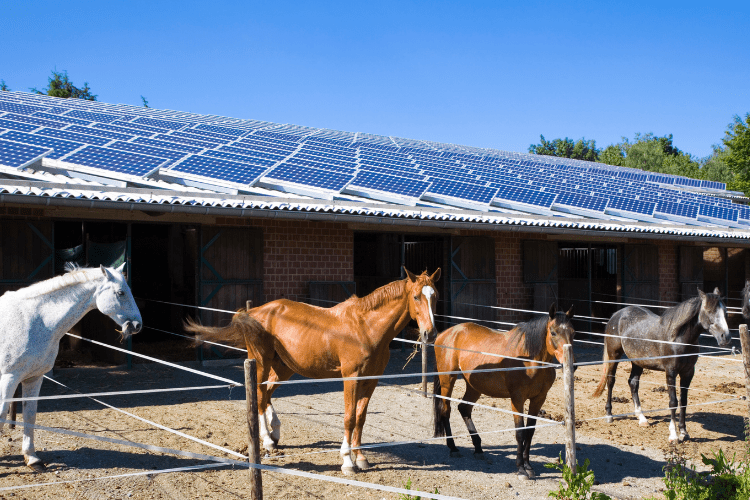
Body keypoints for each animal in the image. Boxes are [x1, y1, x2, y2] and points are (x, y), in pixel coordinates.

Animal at [0, 264, 142, 470]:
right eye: (121, 292)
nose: (137, 325)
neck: (34, 320)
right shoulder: (9, 378)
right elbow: (2, 415)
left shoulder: (34, 377)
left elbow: (30, 415)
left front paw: (32, 458)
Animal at [185, 266, 440, 472]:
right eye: (416, 296)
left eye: (434, 296)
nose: (430, 333)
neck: (366, 328)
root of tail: (254, 312)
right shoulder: (351, 377)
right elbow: (349, 418)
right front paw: (347, 461)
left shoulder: (371, 380)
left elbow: (361, 417)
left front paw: (360, 458)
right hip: (260, 362)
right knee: (258, 394)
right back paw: (266, 440)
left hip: (284, 367)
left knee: (266, 393)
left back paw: (275, 433)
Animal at [432, 302, 572, 478]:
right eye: (553, 332)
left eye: (573, 332)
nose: (570, 363)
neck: (529, 360)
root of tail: (444, 334)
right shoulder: (517, 399)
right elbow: (520, 432)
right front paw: (520, 468)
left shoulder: (538, 399)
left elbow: (530, 431)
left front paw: (528, 466)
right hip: (447, 381)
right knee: (446, 410)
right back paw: (453, 447)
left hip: (474, 386)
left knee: (464, 408)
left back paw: (478, 448)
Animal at [592, 288, 728, 444]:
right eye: (710, 311)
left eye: (725, 311)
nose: (726, 337)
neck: (679, 339)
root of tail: (616, 315)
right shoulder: (671, 372)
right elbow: (673, 401)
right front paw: (673, 435)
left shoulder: (688, 373)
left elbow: (684, 401)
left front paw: (684, 432)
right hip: (614, 355)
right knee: (610, 381)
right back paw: (609, 415)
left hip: (638, 361)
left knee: (633, 383)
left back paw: (642, 418)